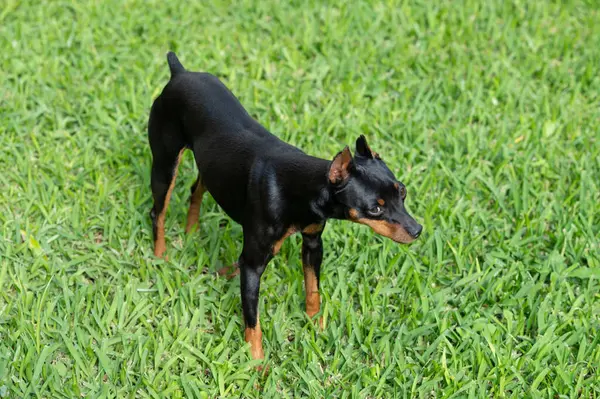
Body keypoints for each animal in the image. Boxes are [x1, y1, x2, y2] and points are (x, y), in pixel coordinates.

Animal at [149, 52, 422, 362]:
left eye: (403, 191)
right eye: (374, 209)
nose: (417, 230)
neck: (298, 188)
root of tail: (179, 73)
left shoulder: (313, 243)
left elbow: (313, 289)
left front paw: (316, 326)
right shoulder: (253, 264)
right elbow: (253, 320)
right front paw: (256, 362)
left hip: (212, 167)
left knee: (196, 190)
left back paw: (191, 231)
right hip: (165, 165)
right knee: (158, 211)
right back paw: (160, 256)